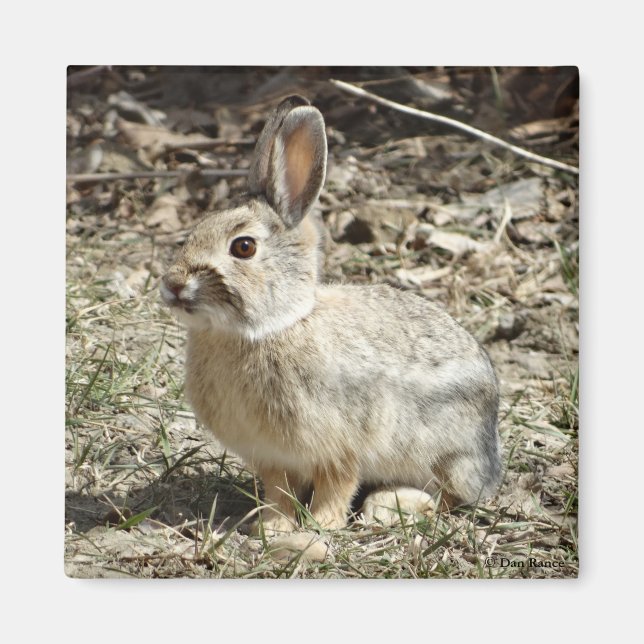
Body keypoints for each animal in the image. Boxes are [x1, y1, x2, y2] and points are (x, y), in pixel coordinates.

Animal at [160, 95, 502, 534]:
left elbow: (338, 484)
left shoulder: (342, 446)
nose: (172, 284)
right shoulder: (273, 457)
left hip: (446, 452)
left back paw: (398, 504)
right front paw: (271, 526)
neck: (271, 327)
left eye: (243, 247)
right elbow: (280, 492)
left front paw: (322, 524)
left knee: (451, 497)